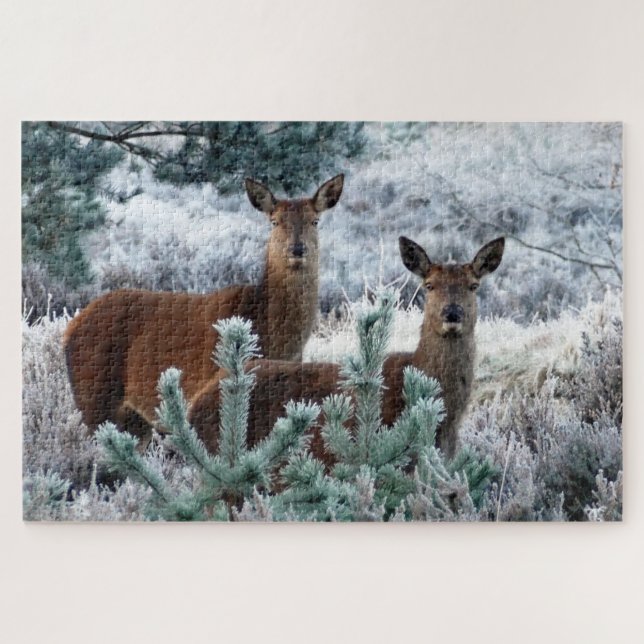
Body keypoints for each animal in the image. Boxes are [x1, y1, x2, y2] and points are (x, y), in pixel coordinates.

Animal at [63, 174, 345, 441]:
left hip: (134, 419)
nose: (297, 249)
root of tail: (70, 328)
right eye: (274, 221)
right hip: (94, 395)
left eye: (314, 221)